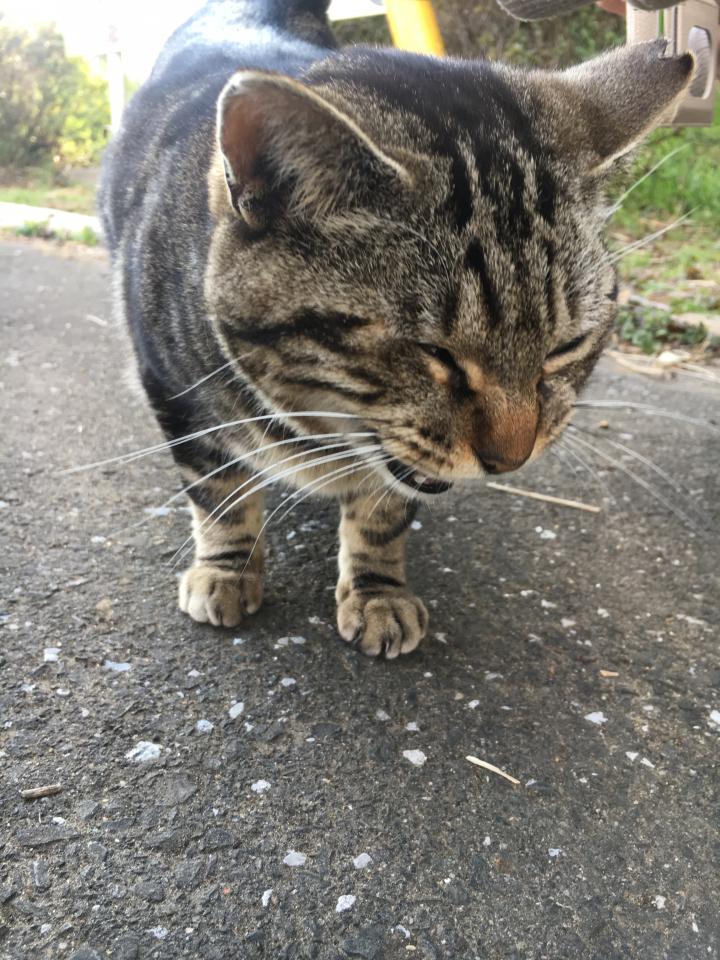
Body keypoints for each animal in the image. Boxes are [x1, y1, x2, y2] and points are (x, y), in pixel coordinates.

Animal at [99, 0, 694, 658]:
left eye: (566, 347)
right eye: (433, 351)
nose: (510, 461)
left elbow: (382, 514)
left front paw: (377, 592)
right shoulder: (172, 390)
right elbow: (216, 489)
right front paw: (225, 570)